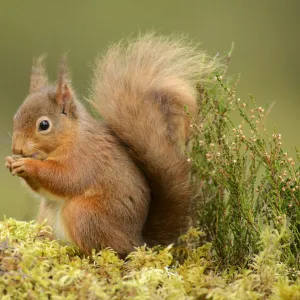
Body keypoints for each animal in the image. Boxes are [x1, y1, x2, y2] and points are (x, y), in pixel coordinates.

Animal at [4, 33, 216, 255]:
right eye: (15, 117)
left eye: (44, 125)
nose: (17, 148)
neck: (71, 137)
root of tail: (137, 241)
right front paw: (11, 161)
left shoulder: (85, 158)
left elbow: (66, 178)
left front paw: (28, 165)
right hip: (48, 214)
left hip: (83, 213)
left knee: (104, 248)